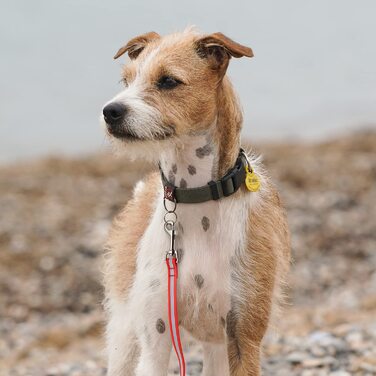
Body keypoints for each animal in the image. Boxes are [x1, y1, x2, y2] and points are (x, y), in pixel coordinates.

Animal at [100, 27, 290, 376]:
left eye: (168, 81)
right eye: (126, 80)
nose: (111, 111)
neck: (196, 196)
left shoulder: (245, 338)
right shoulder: (155, 341)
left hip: (217, 345)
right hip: (124, 331)